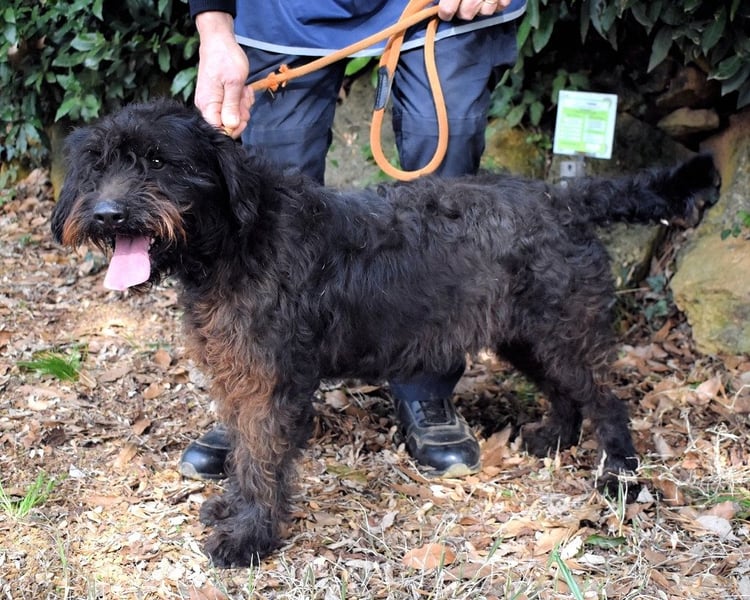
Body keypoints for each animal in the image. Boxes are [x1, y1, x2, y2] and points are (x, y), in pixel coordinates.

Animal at [51, 99, 718, 567]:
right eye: (99, 164)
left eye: (158, 161)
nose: (107, 214)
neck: (239, 237)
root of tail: (567, 198)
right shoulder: (240, 375)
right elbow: (241, 450)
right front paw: (233, 509)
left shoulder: (271, 383)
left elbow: (263, 456)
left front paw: (250, 538)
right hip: (526, 337)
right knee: (565, 391)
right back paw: (554, 437)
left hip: (562, 331)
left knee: (608, 399)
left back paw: (619, 479)